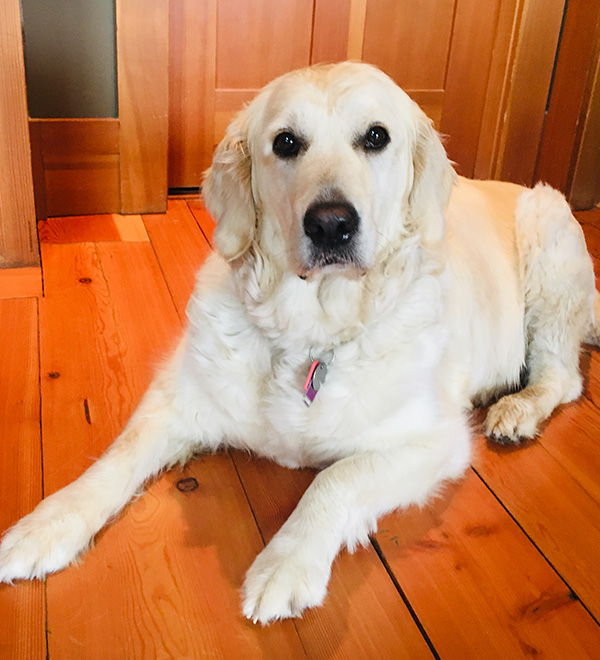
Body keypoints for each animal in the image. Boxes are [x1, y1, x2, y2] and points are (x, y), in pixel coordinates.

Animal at [1, 61, 598, 624]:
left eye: (376, 137)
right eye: (286, 142)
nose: (331, 224)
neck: (310, 335)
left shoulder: (433, 441)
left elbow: (337, 477)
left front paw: (284, 564)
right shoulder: (179, 397)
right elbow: (117, 456)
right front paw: (45, 525)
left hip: (549, 242)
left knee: (563, 377)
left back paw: (517, 409)